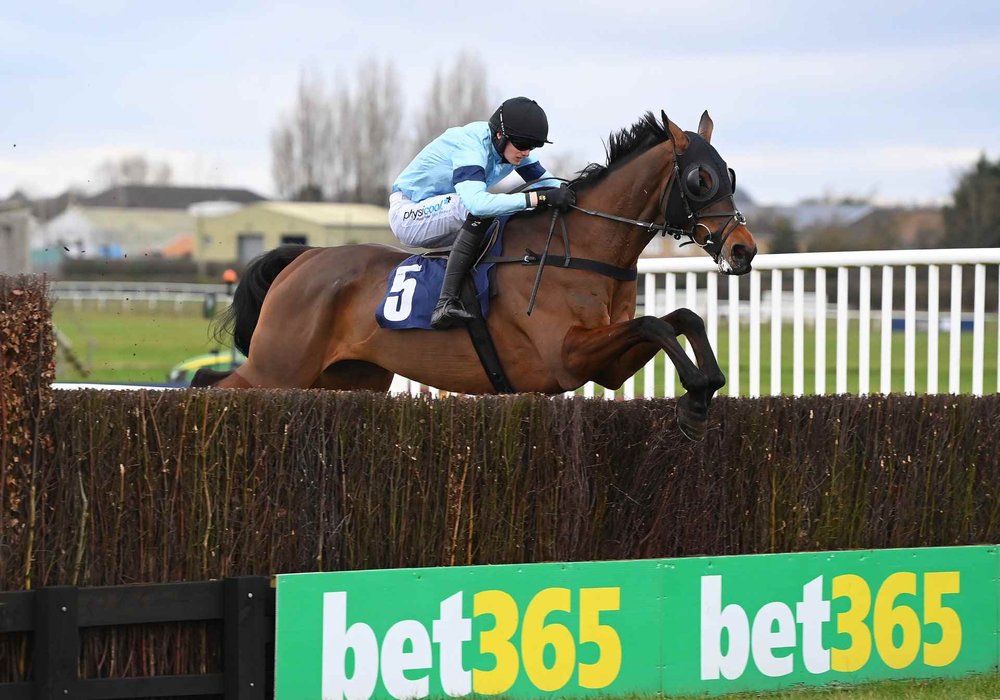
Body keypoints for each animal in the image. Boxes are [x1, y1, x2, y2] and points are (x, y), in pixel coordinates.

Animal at [199, 109, 752, 438]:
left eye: (730, 173)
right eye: (701, 179)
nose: (743, 249)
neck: (578, 250)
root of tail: (305, 257)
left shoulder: (605, 367)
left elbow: (681, 318)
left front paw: (706, 387)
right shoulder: (565, 356)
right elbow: (655, 323)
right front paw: (696, 394)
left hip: (348, 379)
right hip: (277, 368)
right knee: (213, 385)